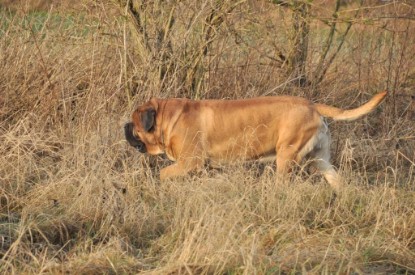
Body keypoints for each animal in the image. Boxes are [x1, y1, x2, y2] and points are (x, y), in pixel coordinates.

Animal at [125, 91, 388, 191]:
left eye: (134, 124)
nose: (124, 126)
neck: (167, 117)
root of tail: (312, 105)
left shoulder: (190, 161)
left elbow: (164, 173)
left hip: (286, 155)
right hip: (320, 159)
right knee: (336, 179)